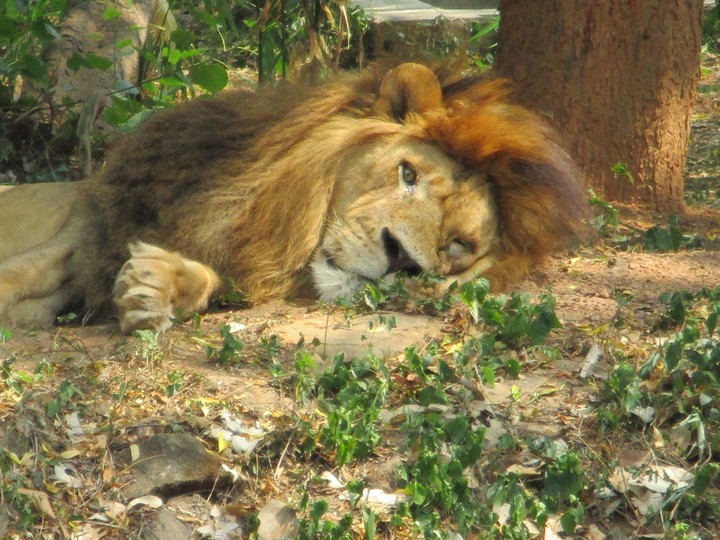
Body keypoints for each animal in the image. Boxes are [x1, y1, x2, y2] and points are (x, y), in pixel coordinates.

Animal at [0, 63, 585, 333]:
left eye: (459, 245)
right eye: (407, 173)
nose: (402, 258)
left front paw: (154, 287)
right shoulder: (87, 227)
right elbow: (16, 275)